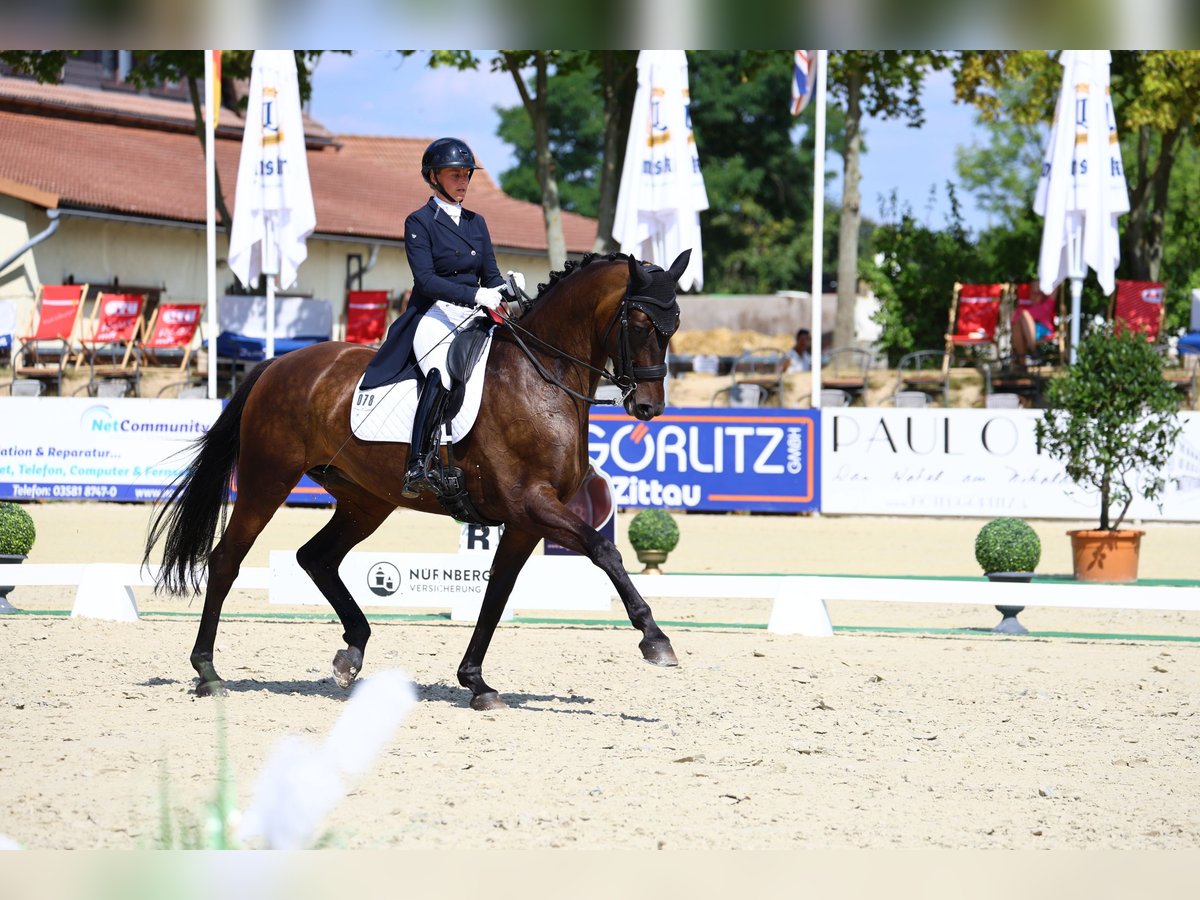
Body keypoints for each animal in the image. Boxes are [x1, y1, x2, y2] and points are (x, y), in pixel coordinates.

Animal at [144, 248, 691, 710]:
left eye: (674, 325)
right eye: (640, 322)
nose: (648, 407)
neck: (542, 378)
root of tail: (278, 363)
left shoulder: (524, 520)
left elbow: (497, 594)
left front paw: (475, 681)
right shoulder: (532, 503)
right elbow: (605, 551)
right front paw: (655, 639)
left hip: (365, 500)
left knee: (315, 557)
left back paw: (351, 653)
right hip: (268, 480)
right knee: (226, 560)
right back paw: (208, 672)